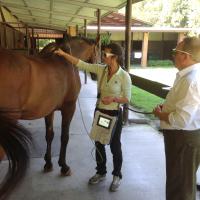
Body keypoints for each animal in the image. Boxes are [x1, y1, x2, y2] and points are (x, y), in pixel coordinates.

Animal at [0, 35, 98, 199]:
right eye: (99, 50)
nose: (96, 75)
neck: (67, 60)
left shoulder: (49, 110)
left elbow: (49, 135)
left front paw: (48, 163)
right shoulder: (69, 108)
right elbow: (64, 137)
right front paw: (64, 166)